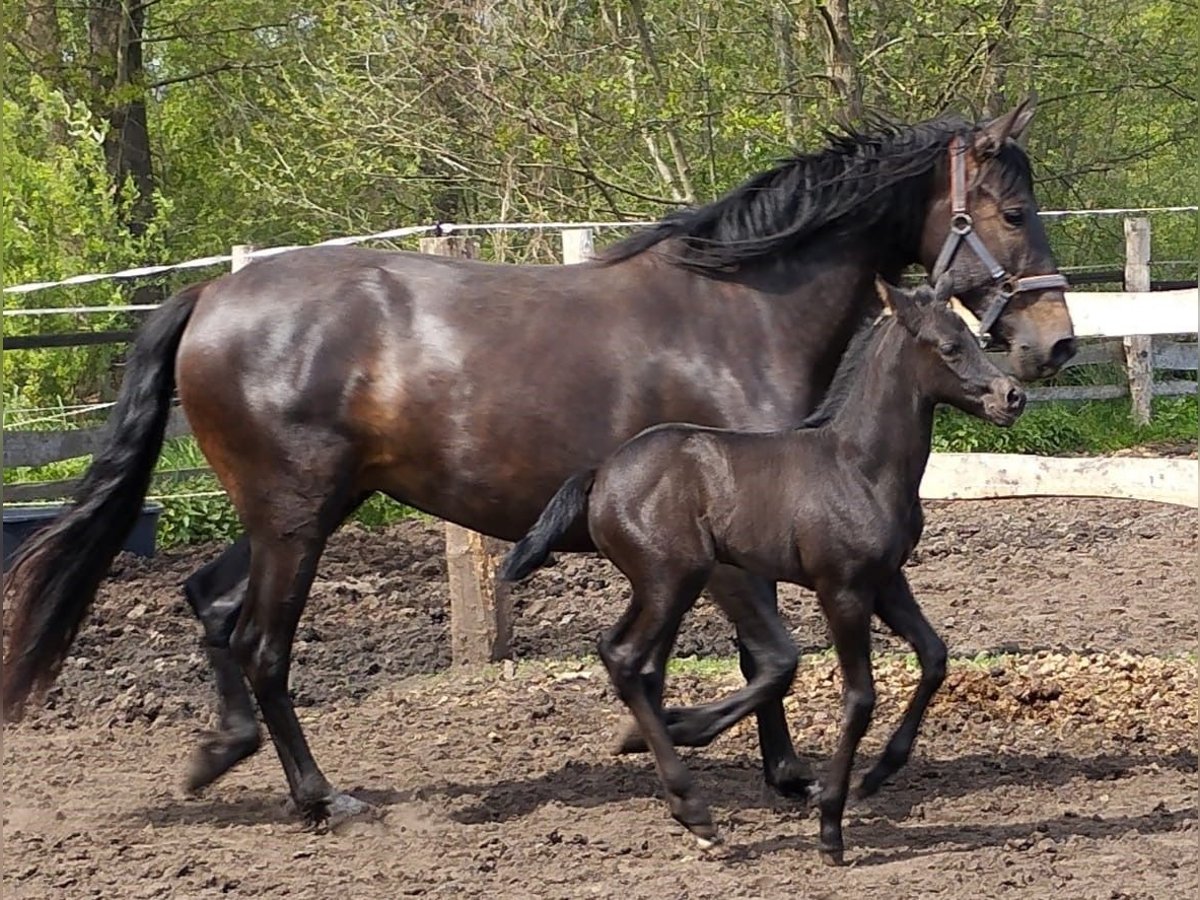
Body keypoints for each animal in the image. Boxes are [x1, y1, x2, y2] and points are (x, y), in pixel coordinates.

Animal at [0, 97, 1070, 825]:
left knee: (213, 606)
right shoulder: (725, 545)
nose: (1053, 345)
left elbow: (756, 661)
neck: (736, 317)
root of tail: (208, 298)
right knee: (263, 642)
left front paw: (778, 771)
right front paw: (670, 743)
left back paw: (217, 754)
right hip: (296, 517)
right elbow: (769, 659)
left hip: (301, 511)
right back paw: (320, 797)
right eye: (1013, 212)